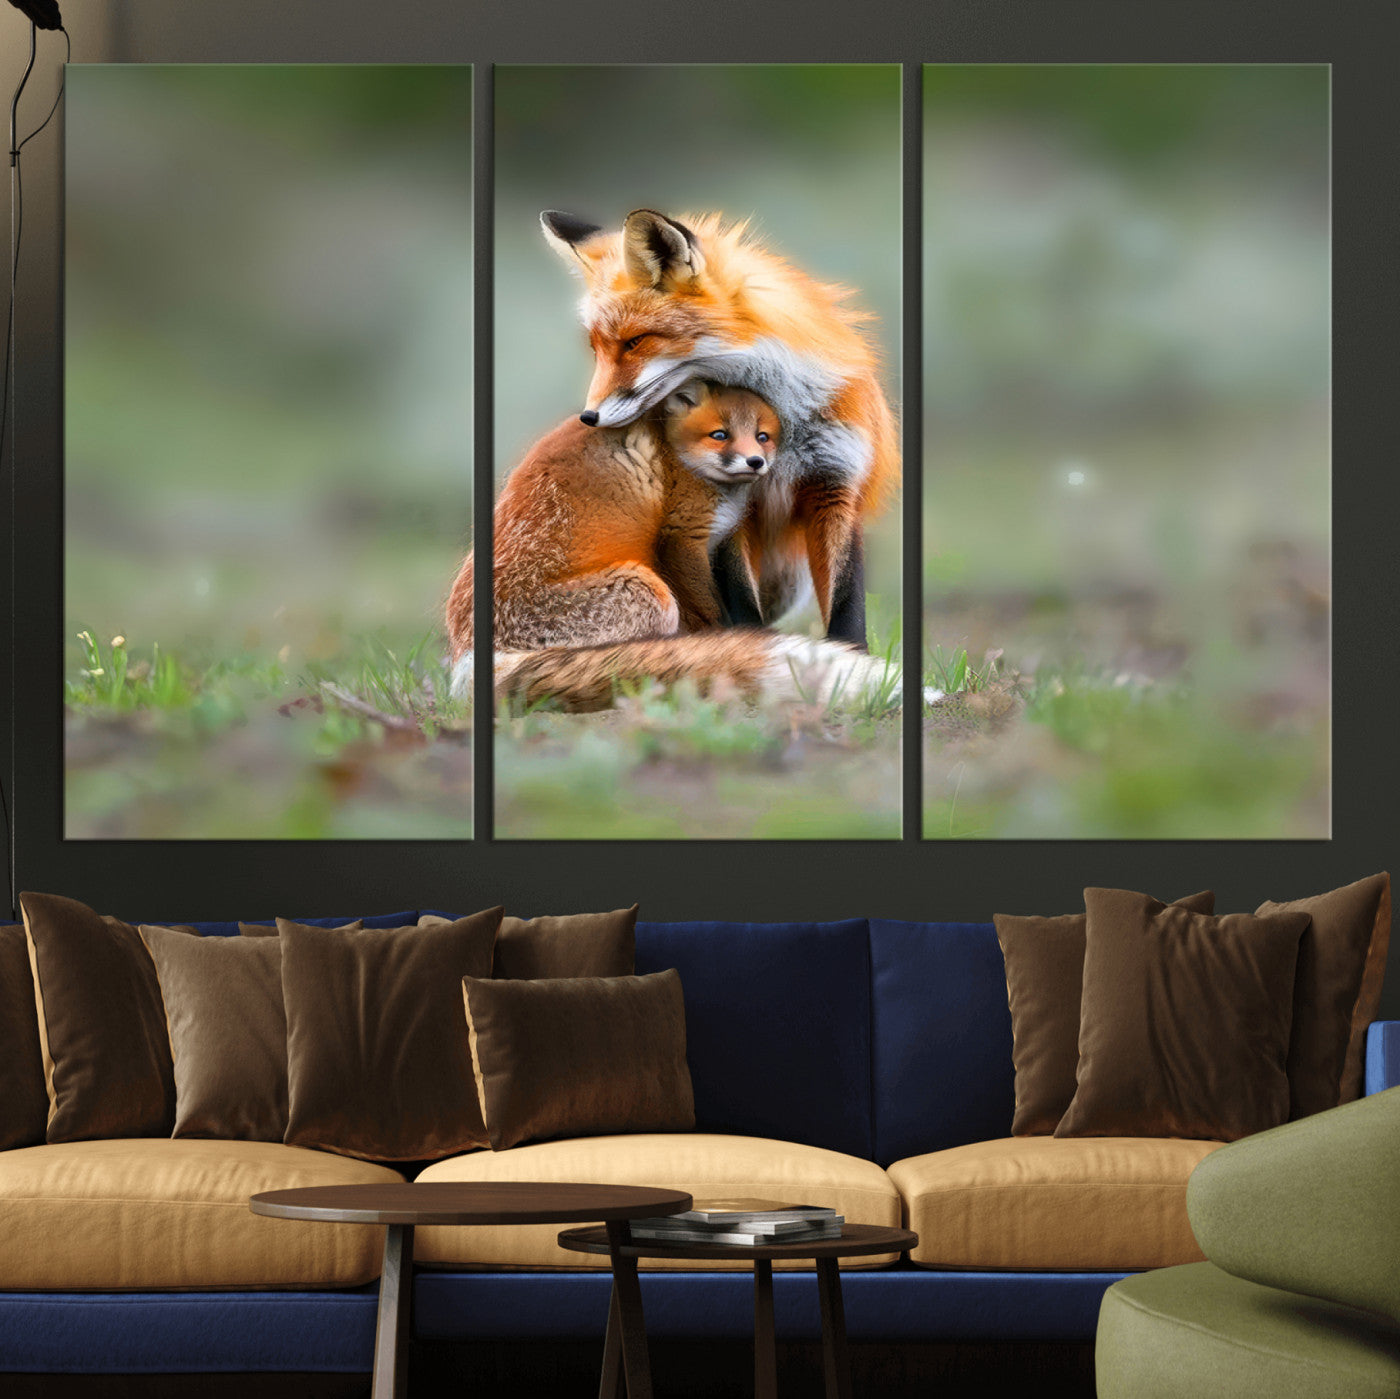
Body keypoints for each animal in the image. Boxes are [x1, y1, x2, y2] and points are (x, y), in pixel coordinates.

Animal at [540, 207, 899, 650]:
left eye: (635, 341)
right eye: (597, 349)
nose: (588, 417)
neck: (784, 425)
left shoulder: (835, 486)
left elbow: (847, 607)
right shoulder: (731, 506)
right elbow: (742, 603)